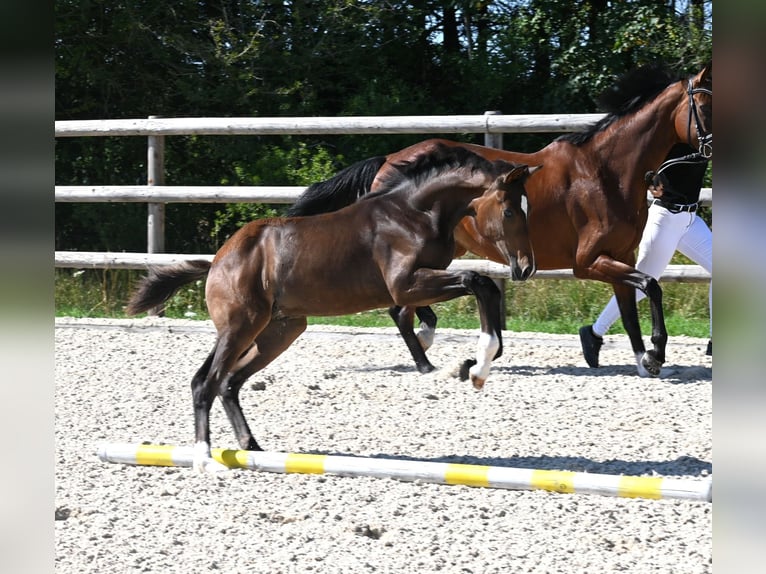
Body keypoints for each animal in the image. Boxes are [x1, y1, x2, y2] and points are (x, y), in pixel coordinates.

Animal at [126, 144, 538, 472]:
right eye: (509, 212)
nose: (525, 268)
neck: (413, 213)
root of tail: (218, 261)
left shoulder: (418, 284)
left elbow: (479, 292)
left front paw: (473, 365)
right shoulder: (405, 284)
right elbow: (477, 282)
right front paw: (475, 367)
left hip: (278, 331)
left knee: (229, 382)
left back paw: (252, 448)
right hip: (241, 326)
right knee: (206, 382)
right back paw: (205, 459)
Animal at [288, 62, 712, 377]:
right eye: (706, 108)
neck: (606, 170)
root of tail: (388, 160)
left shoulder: (618, 255)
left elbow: (630, 306)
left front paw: (645, 359)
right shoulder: (588, 261)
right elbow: (651, 285)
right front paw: (656, 352)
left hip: (441, 251)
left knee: (406, 301)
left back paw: (431, 347)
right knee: (402, 301)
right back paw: (430, 350)